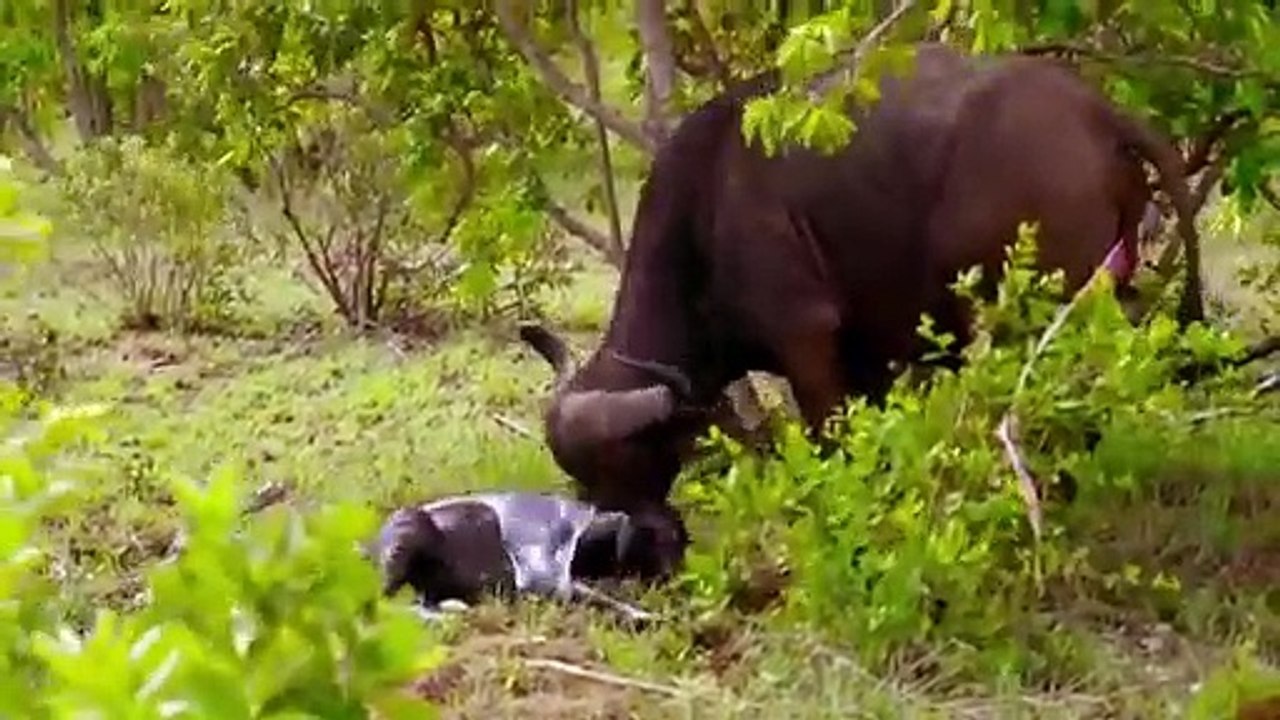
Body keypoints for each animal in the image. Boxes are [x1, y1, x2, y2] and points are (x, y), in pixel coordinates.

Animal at [519, 42, 1204, 578]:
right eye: (583, 478)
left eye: (627, 464)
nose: (618, 546)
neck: (706, 204)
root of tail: (1096, 112)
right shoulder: (870, 357)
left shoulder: (808, 338)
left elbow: (829, 442)